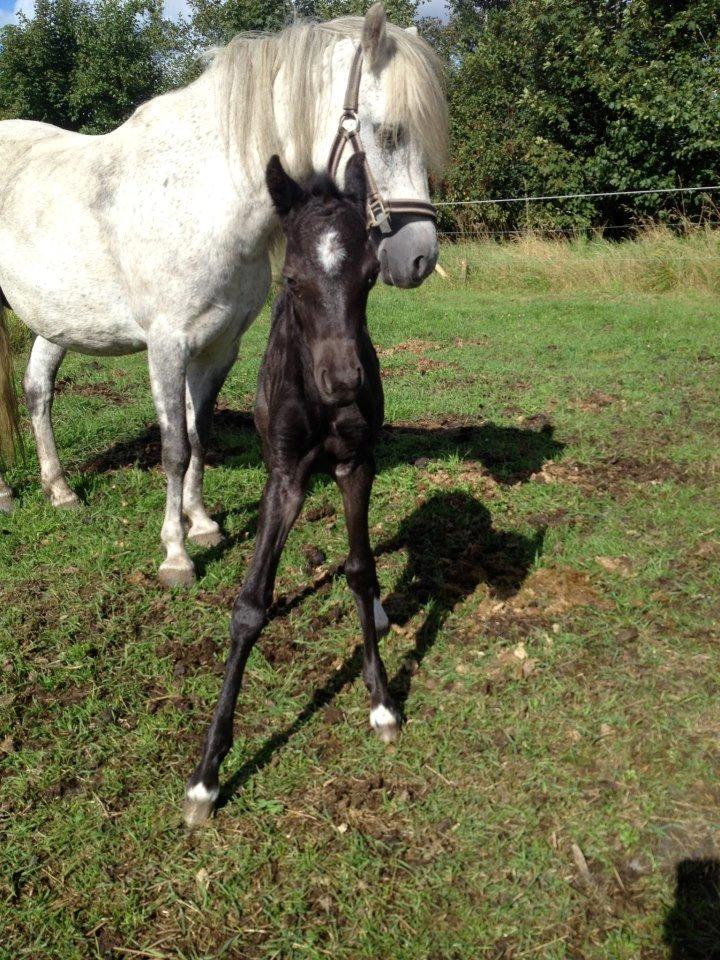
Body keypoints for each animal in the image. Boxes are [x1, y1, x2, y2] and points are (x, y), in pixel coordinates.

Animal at [0, 4, 447, 586]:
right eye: (389, 132)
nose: (420, 258)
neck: (207, 193)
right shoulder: (167, 346)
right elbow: (173, 447)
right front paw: (176, 554)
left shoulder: (219, 346)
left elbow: (199, 435)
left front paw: (203, 524)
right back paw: (7, 493)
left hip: (59, 320)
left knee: (37, 390)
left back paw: (60, 491)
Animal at [183, 152, 398, 827]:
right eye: (294, 281)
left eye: (369, 275)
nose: (344, 382)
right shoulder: (284, 478)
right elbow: (251, 604)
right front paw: (206, 778)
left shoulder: (356, 462)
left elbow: (360, 568)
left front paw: (382, 700)